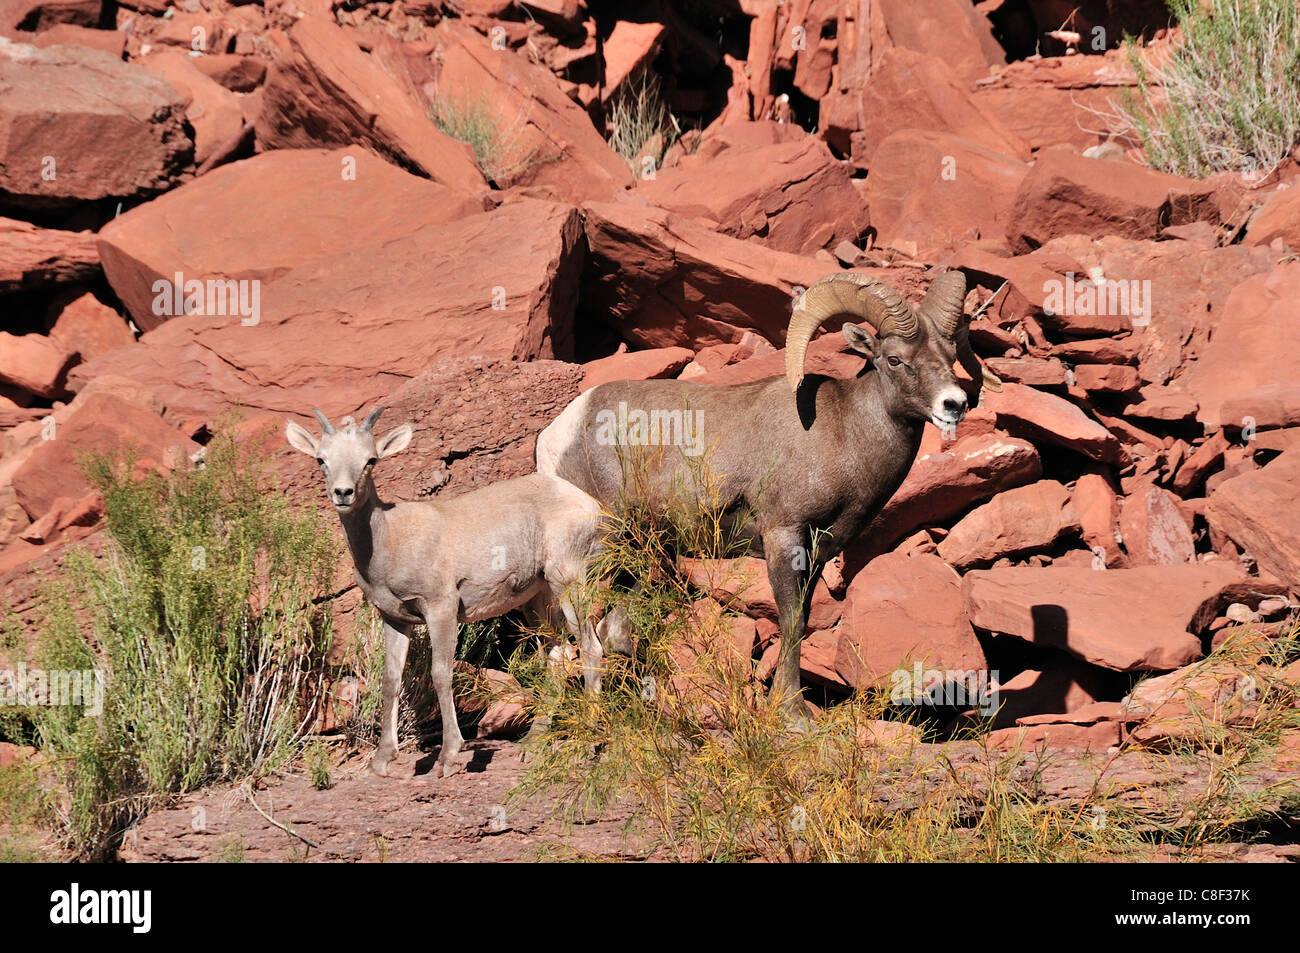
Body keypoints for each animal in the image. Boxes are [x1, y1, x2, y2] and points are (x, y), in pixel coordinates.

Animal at [286, 406, 626, 778]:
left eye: (370, 460)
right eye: (321, 459)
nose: (343, 493)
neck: (389, 541)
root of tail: (588, 504)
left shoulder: (441, 608)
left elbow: (440, 673)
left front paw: (448, 758)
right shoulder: (395, 618)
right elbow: (390, 680)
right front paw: (382, 760)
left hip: (569, 581)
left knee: (591, 648)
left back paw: (588, 745)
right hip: (538, 599)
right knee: (559, 654)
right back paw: (533, 745)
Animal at [536, 270, 1002, 721]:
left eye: (951, 355)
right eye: (894, 359)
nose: (954, 404)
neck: (844, 433)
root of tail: (555, 436)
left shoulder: (818, 552)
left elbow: (804, 619)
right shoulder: (783, 537)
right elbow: (792, 619)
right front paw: (793, 713)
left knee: (607, 630)